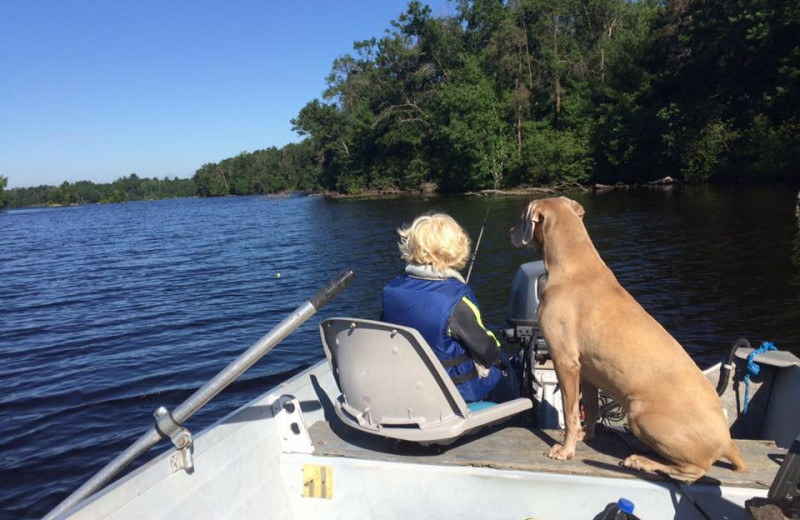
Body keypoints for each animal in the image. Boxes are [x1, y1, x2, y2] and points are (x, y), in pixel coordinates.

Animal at [512, 197, 744, 482]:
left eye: (521, 216)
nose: (510, 231)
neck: (575, 265)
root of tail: (727, 442)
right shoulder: (587, 370)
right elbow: (590, 409)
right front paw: (586, 436)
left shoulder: (565, 361)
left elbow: (570, 412)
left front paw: (565, 450)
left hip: (639, 412)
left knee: (694, 471)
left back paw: (640, 461)